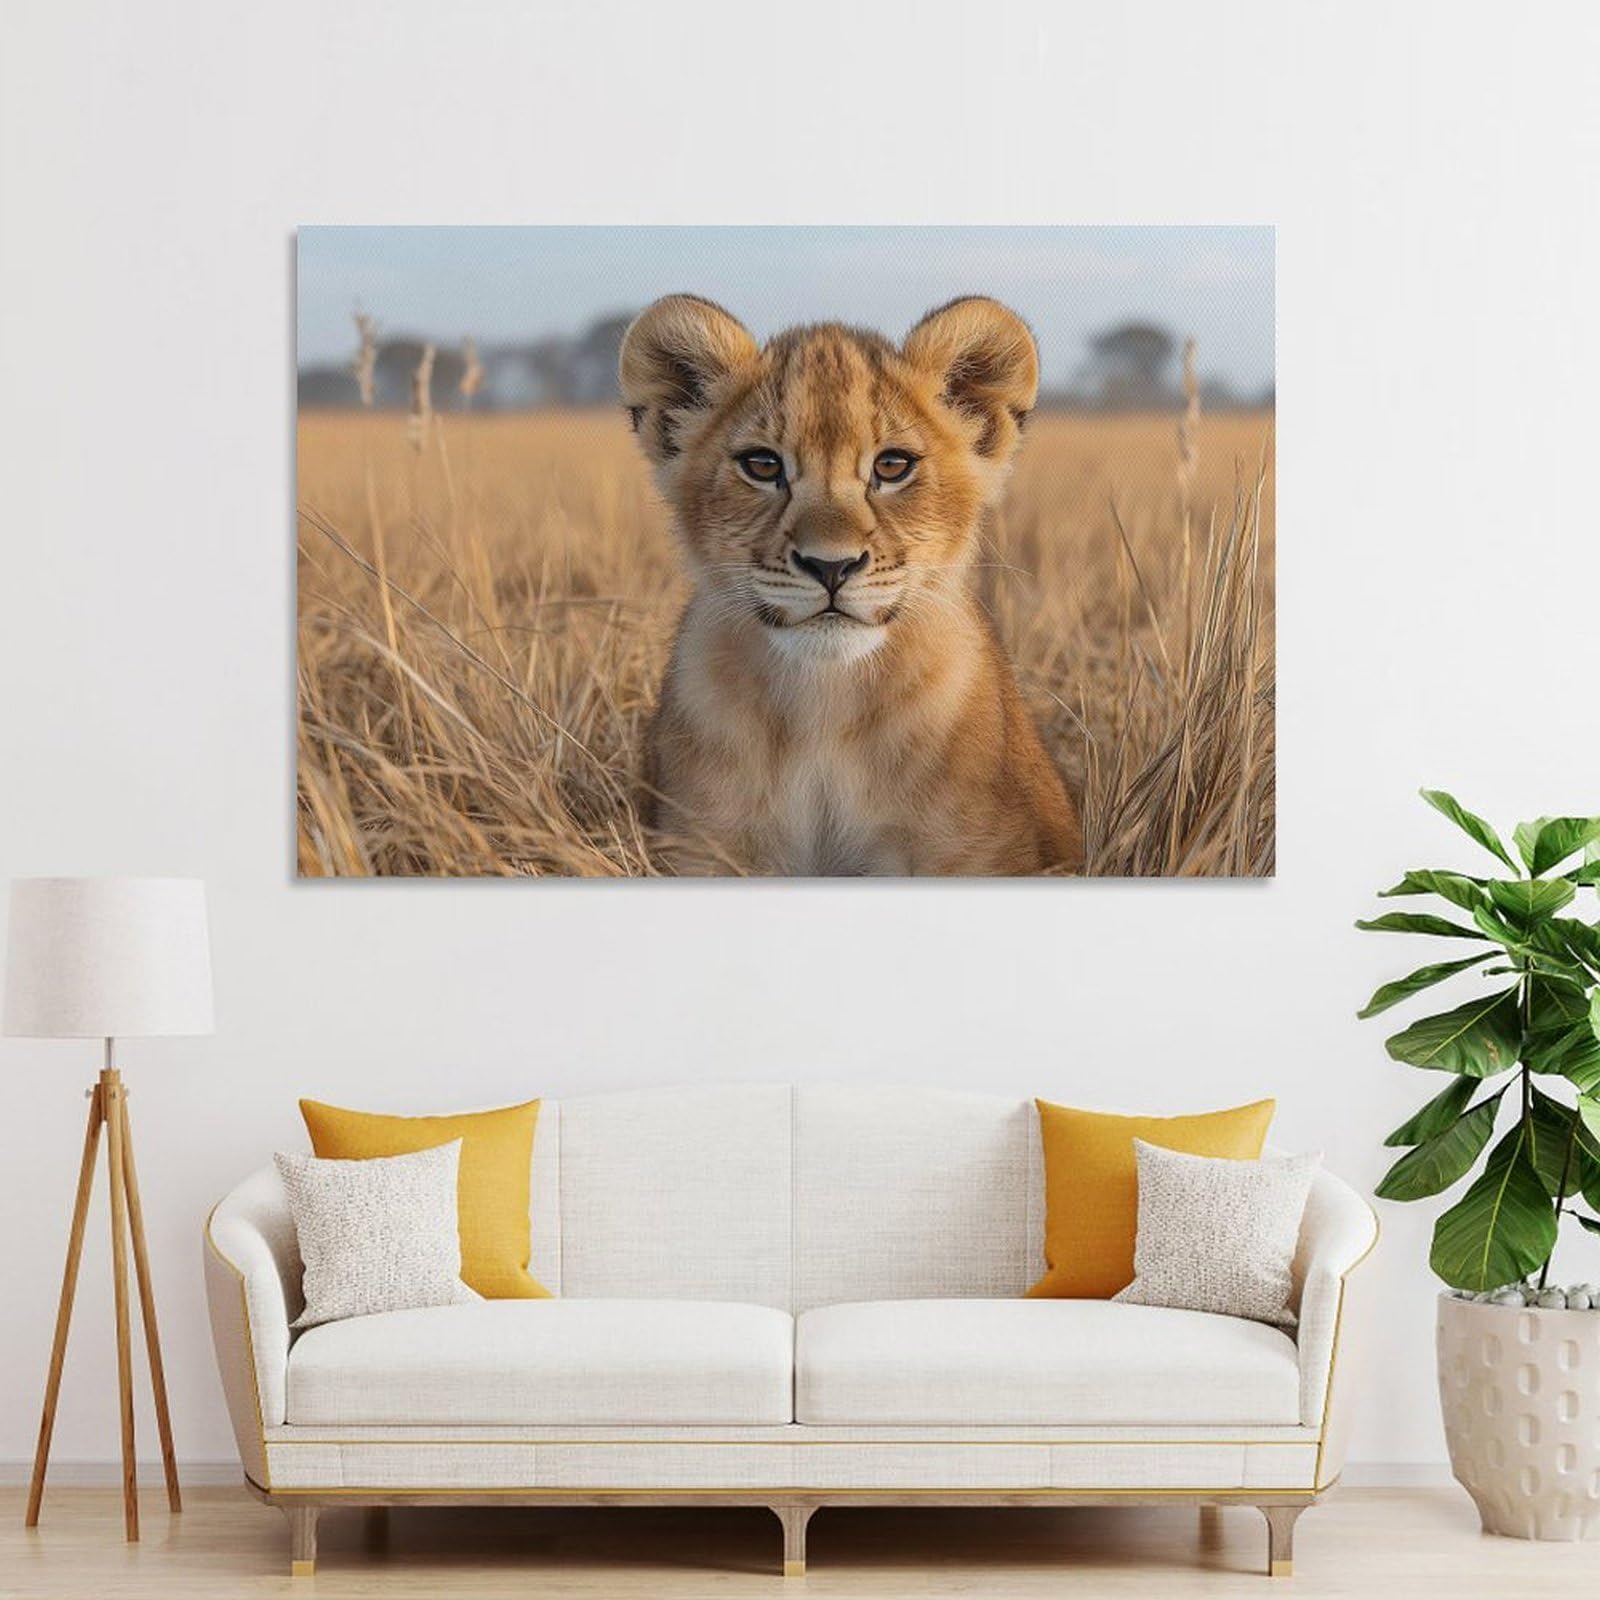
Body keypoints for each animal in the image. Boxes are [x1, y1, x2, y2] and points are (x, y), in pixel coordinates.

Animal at [619, 294, 1084, 877]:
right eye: (762, 465)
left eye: (892, 465)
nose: (830, 567)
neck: (824, 703)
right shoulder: (707, 846)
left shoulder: (972, 851)